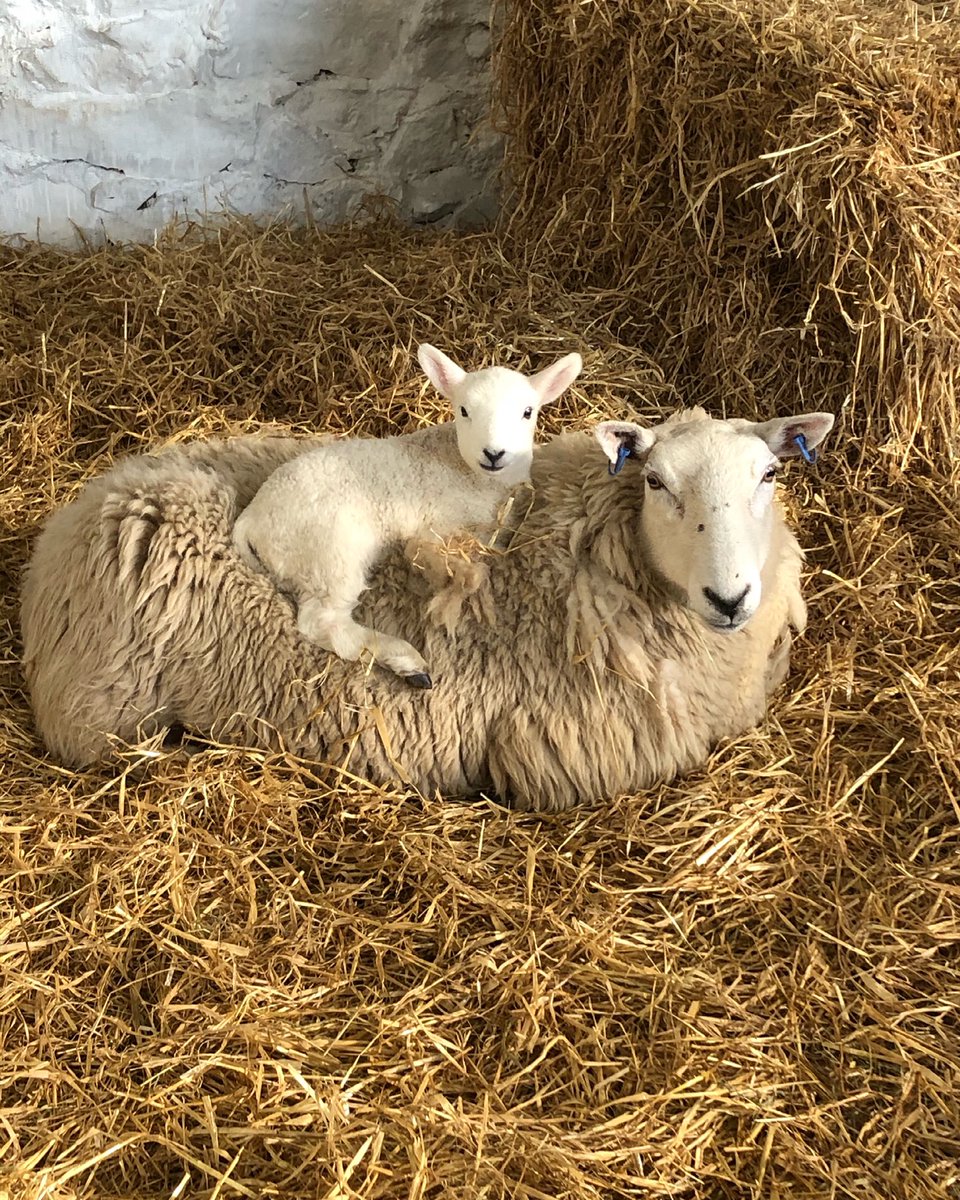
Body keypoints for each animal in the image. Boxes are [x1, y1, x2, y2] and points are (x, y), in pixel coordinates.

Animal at [232, 344, 584, 687]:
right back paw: (405, 661)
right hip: (329, 554)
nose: (494, 453)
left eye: (528, 412)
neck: (475, 476)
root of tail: (252, 517)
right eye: (464, 411)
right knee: (322, 622)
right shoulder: (440, 530)